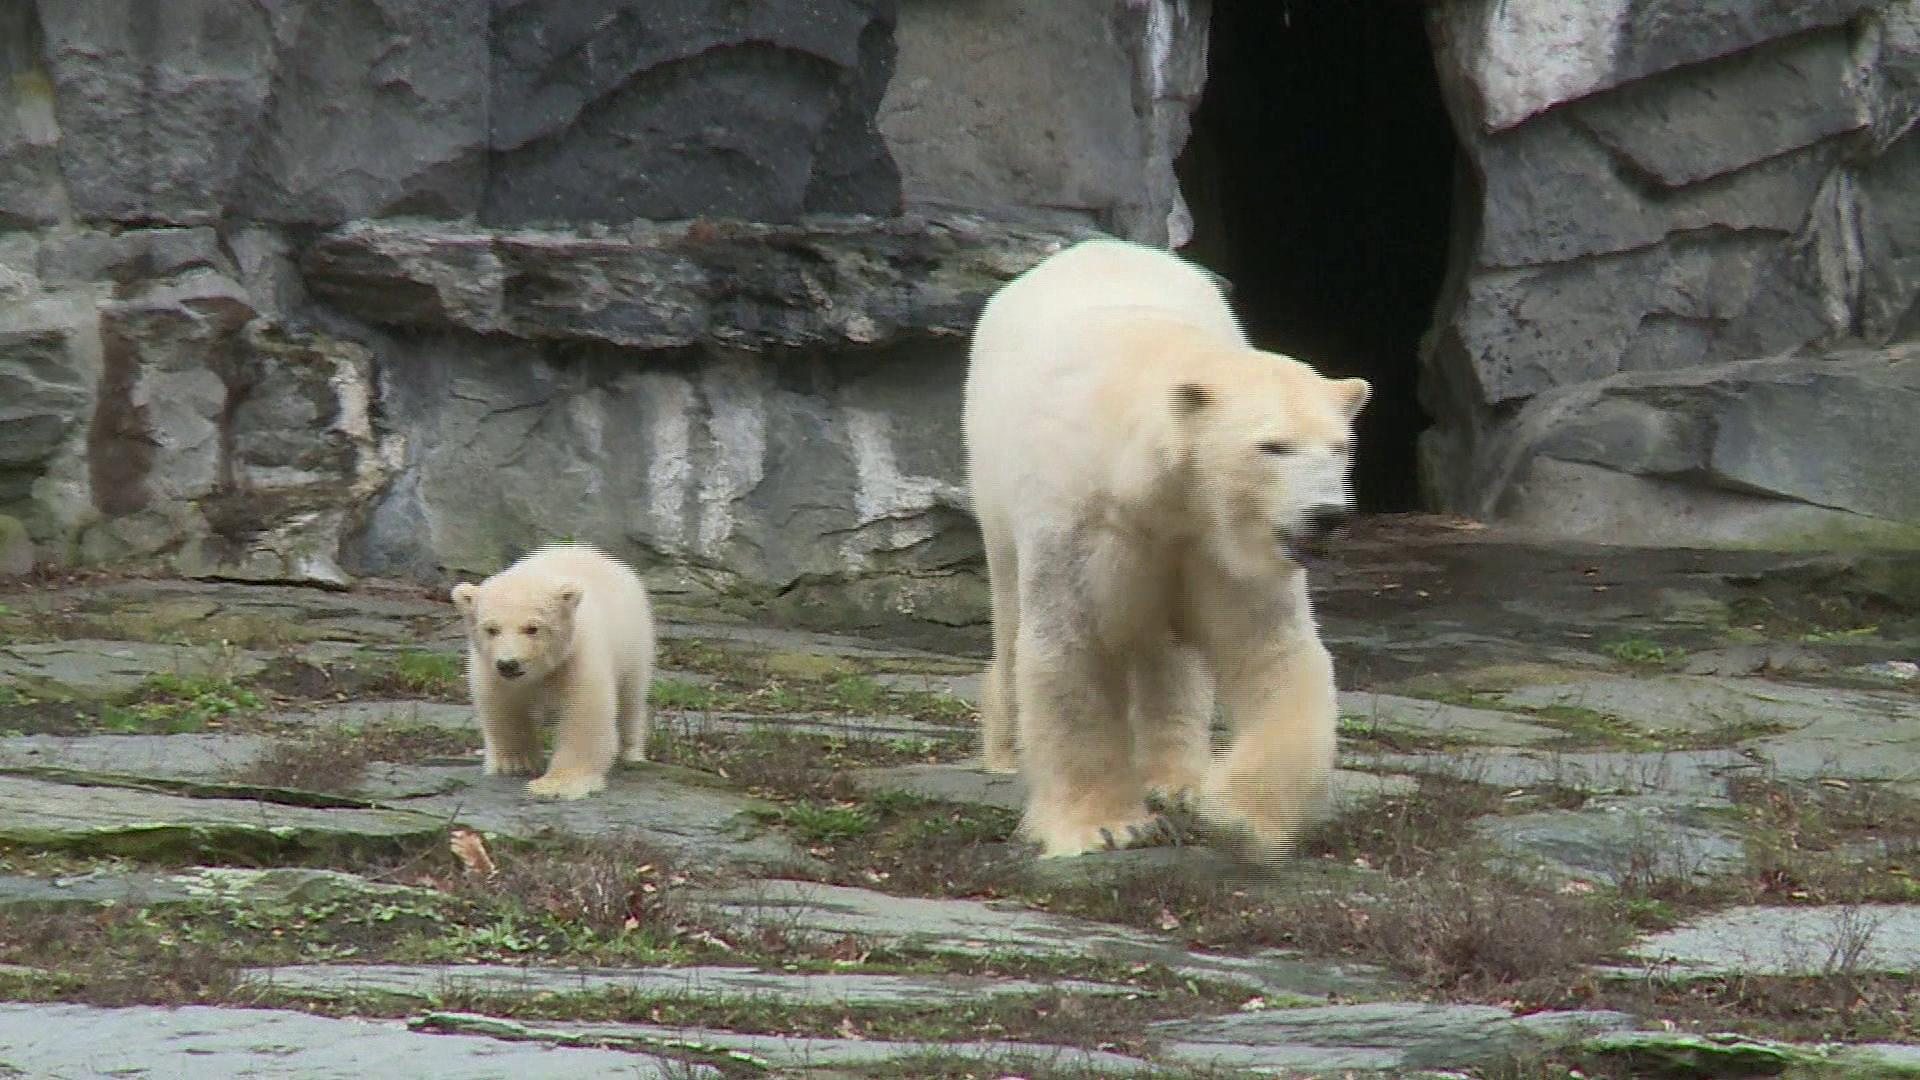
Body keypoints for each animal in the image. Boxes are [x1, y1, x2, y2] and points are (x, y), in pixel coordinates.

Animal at [967, 235, 1374, 857]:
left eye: (1339, 448)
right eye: (1272, 447)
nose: (1327, 516)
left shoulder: (1216, 544)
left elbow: (1269, 650)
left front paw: (1237, 810)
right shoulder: (1079, 520)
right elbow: (1072, 648)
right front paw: (1103, 827)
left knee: (1172, 657)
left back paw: (1177, 780)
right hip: (992, 487)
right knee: (1010, 614)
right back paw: (1004, 752)